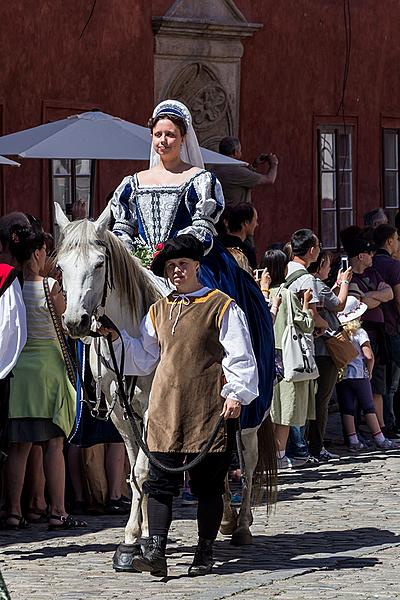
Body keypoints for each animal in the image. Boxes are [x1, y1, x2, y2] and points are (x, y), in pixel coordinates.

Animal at [54, 202, 276, 568]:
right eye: (60, 267)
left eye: (99, 263)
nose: (75, 322)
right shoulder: (123, 416)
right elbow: (135, 474)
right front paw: (137, 536)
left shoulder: (153, 412)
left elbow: (147, 471)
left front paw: (137, 539)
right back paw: (226, 520)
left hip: (246, 417)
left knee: (248, 459)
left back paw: (242, 525)